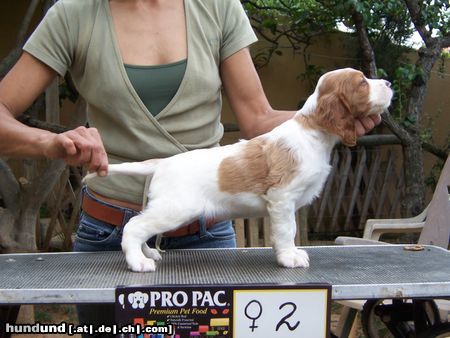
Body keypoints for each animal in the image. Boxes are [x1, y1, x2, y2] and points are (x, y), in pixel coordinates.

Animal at [85, 68, 394, 272]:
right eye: (362, 83)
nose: (389, 82)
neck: (311, 131)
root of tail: (162, 162)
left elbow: (285, 231)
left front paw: (287, 252)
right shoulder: (282, 197)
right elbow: (287, 229)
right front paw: (289, 257)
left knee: (141, 226)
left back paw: (148, 252)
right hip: (175, 208)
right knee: (134, 227)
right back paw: (139, 261)